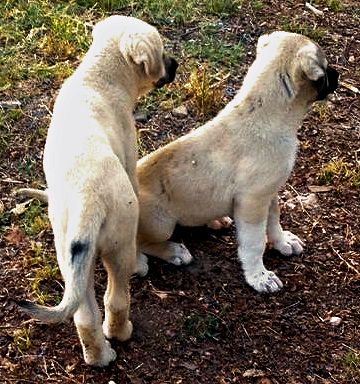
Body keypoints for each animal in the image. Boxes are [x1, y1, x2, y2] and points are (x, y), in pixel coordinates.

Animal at [16, 15, 178, 368]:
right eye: (161, 50)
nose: (175, 64)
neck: (97, 77)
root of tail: (88, 203)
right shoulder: (130, 160)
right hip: (118, 246)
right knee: (116, 299)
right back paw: (121, 331)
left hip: (71, 257)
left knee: (84, 316)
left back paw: (98, 357)